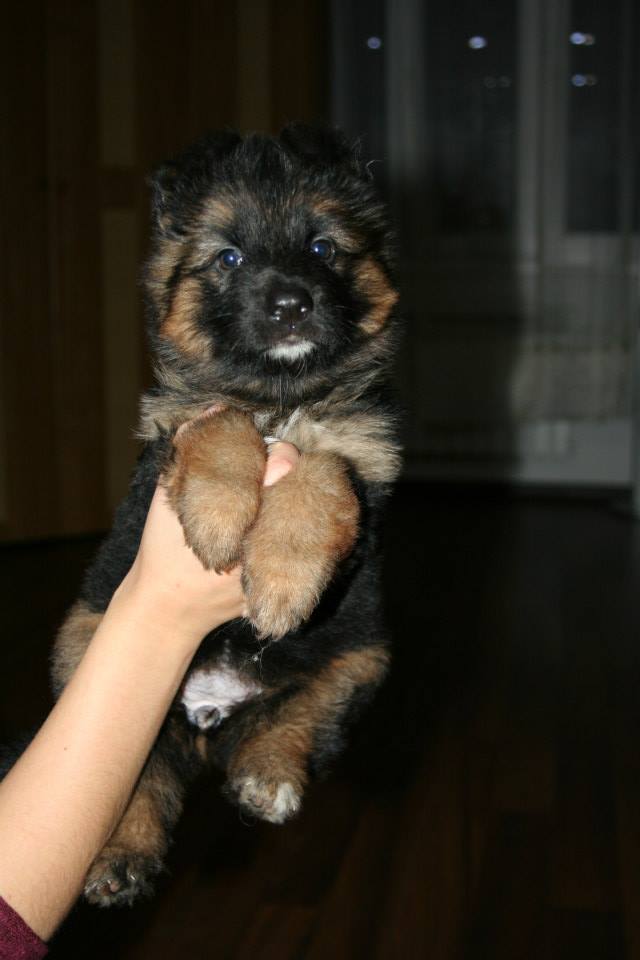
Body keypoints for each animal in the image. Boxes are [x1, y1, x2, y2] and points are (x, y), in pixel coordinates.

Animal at [52, 124, 401, 906]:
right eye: (230, 258)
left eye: (322, 248)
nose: (292, 304)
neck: (280, 395)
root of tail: (212, 712)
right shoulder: (171, 440)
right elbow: (221, 425)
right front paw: (215, 519)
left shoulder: (363, 480)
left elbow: (326, 471)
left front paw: (281, 582)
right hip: (87, 639)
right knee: (139, 775)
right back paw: (119, 854)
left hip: (362, 654)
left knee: (300, 714)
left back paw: (267, 775)